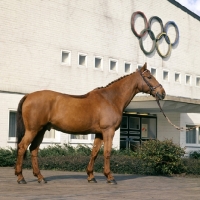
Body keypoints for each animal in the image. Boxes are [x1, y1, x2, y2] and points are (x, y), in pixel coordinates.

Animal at [15, 62, 166, 184]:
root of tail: (28, 96)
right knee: (22, 147)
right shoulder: (108, 131)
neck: (111, 99)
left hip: (40, 130)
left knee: (33, 150)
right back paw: (20, 177)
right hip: (33, 130)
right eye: (149, 77)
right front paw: (109, 177)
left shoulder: (99, 133)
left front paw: (91, 177)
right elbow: (107, 152)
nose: (162, 93)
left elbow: (94, 153)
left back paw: (40, 177)